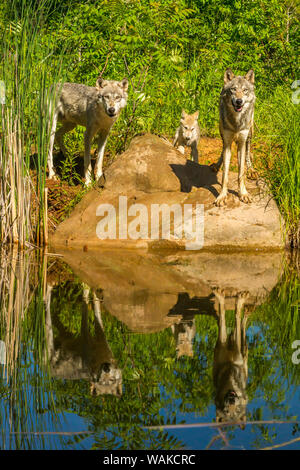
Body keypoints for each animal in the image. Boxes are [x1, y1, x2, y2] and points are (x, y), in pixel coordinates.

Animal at [211, 68, 255, 206]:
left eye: (245, 90)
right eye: (233, 89)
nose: (239, 101)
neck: (236, 122)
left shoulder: (242, 142)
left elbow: (241, 173)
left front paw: (243, 194)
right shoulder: (227, 141)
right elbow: (225, 175)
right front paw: (222, 196)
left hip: (250, 132)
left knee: (248, 152)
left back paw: (251, 170)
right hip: (222, 132)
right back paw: (216, 165)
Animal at [212, 288, 250, 428]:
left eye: (237, 410)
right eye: (226, 410)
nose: (232, 400)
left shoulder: (237, 353)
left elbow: (236, 314)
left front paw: (240, 301)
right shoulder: (221, 343)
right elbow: (223, 314)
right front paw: (220, 298)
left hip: (244, 356)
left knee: (242, 330)